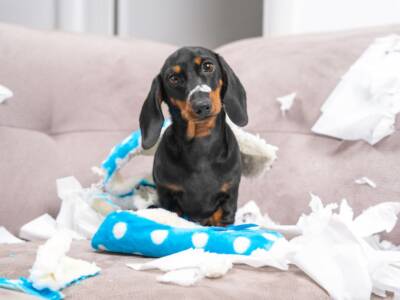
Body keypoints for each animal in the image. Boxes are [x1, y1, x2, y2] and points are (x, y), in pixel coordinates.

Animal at [140, 46, 247, 225]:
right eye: (173, 78)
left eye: (208, 66)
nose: (201, 106)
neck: (201, 146)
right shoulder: (167, 197)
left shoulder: (228, 199)